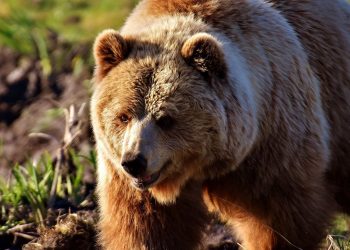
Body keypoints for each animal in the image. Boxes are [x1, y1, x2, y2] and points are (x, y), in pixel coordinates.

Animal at [91, 0, 350, 249]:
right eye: (124, 116)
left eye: (165, 119)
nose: (134, 162)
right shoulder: (124, 176)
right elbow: (146, 226)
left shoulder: (273, 140)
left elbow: (277, 219)